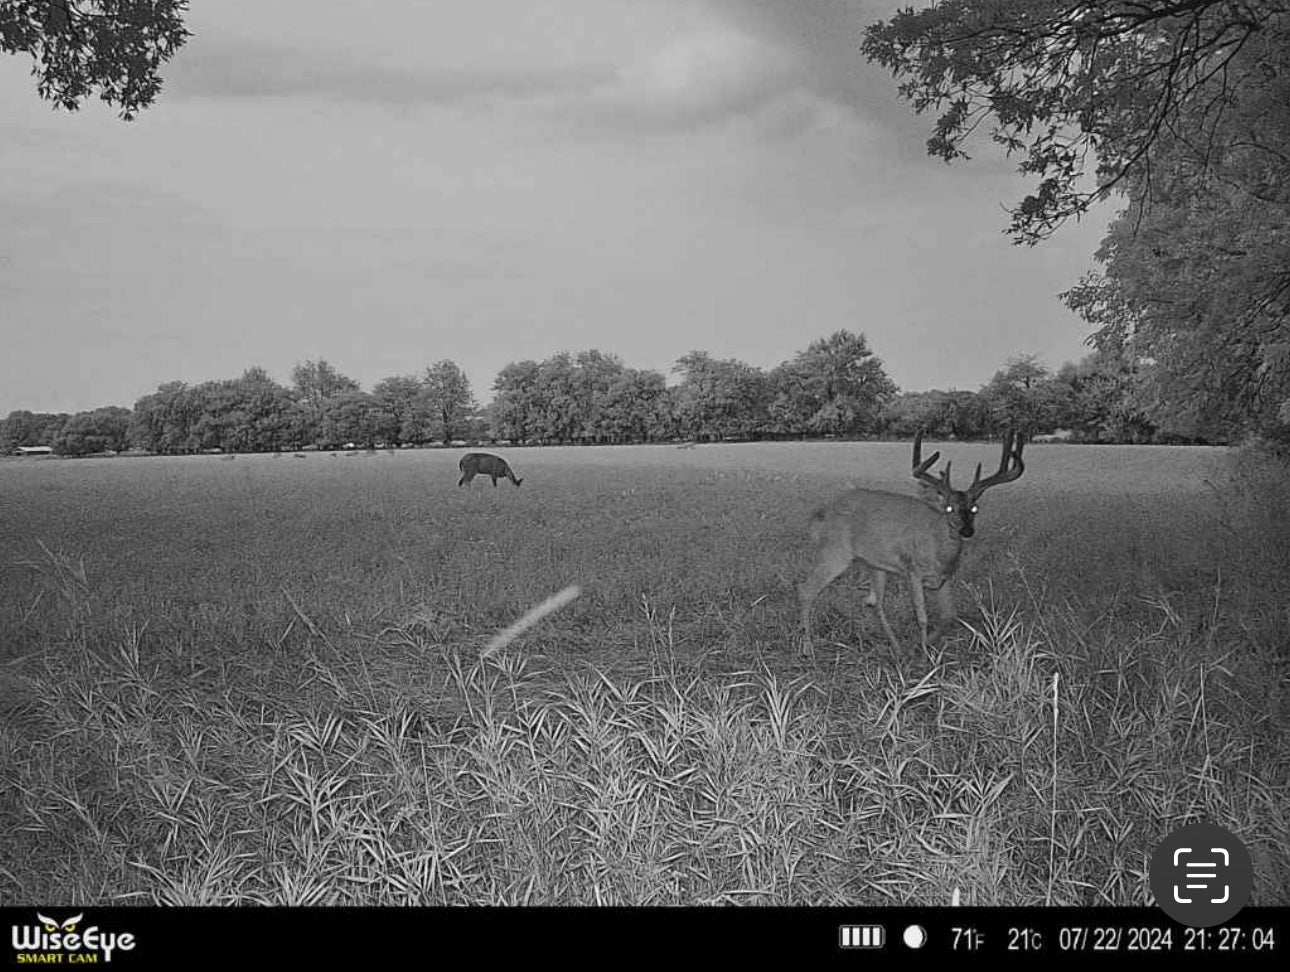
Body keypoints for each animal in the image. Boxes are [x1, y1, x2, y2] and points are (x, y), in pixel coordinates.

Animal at [799, 433, 1021, 655]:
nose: (966, 531)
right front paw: (923, 653)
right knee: (806, 590)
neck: (937, 548)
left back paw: (896, 648)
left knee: (873, 602)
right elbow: (922, 618)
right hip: (834, 551)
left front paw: (922, 645)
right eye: (949, 508)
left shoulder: (943, 579)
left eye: (974, 508)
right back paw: (808, 647)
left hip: (875, 564)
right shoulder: (912, 571)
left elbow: (949, 616)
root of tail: (818, 512)